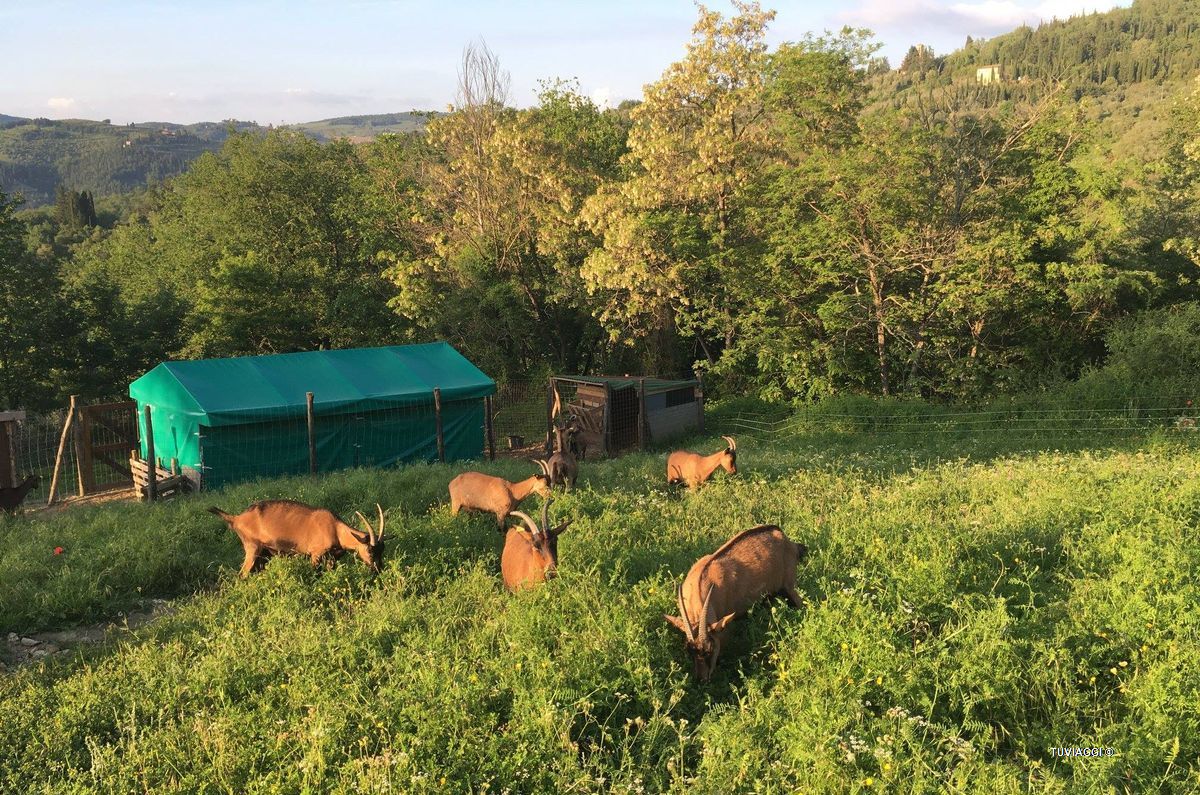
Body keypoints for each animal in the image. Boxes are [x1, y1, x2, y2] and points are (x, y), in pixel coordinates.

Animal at [207, 500, 387, 578]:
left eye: (382, 551)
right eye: (370, 551)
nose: (378, 570)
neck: (335, 528)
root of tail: (237, 518)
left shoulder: (332, 558)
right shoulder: (316, 555)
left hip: (264, 554)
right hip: (253, 548)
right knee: (242, 574)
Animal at [664, 524, 807, 682]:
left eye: (710, 649)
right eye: (689, 650)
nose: (701, 679)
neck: (702, 581)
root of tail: (784, 538)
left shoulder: (724, 627)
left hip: (790, 588)